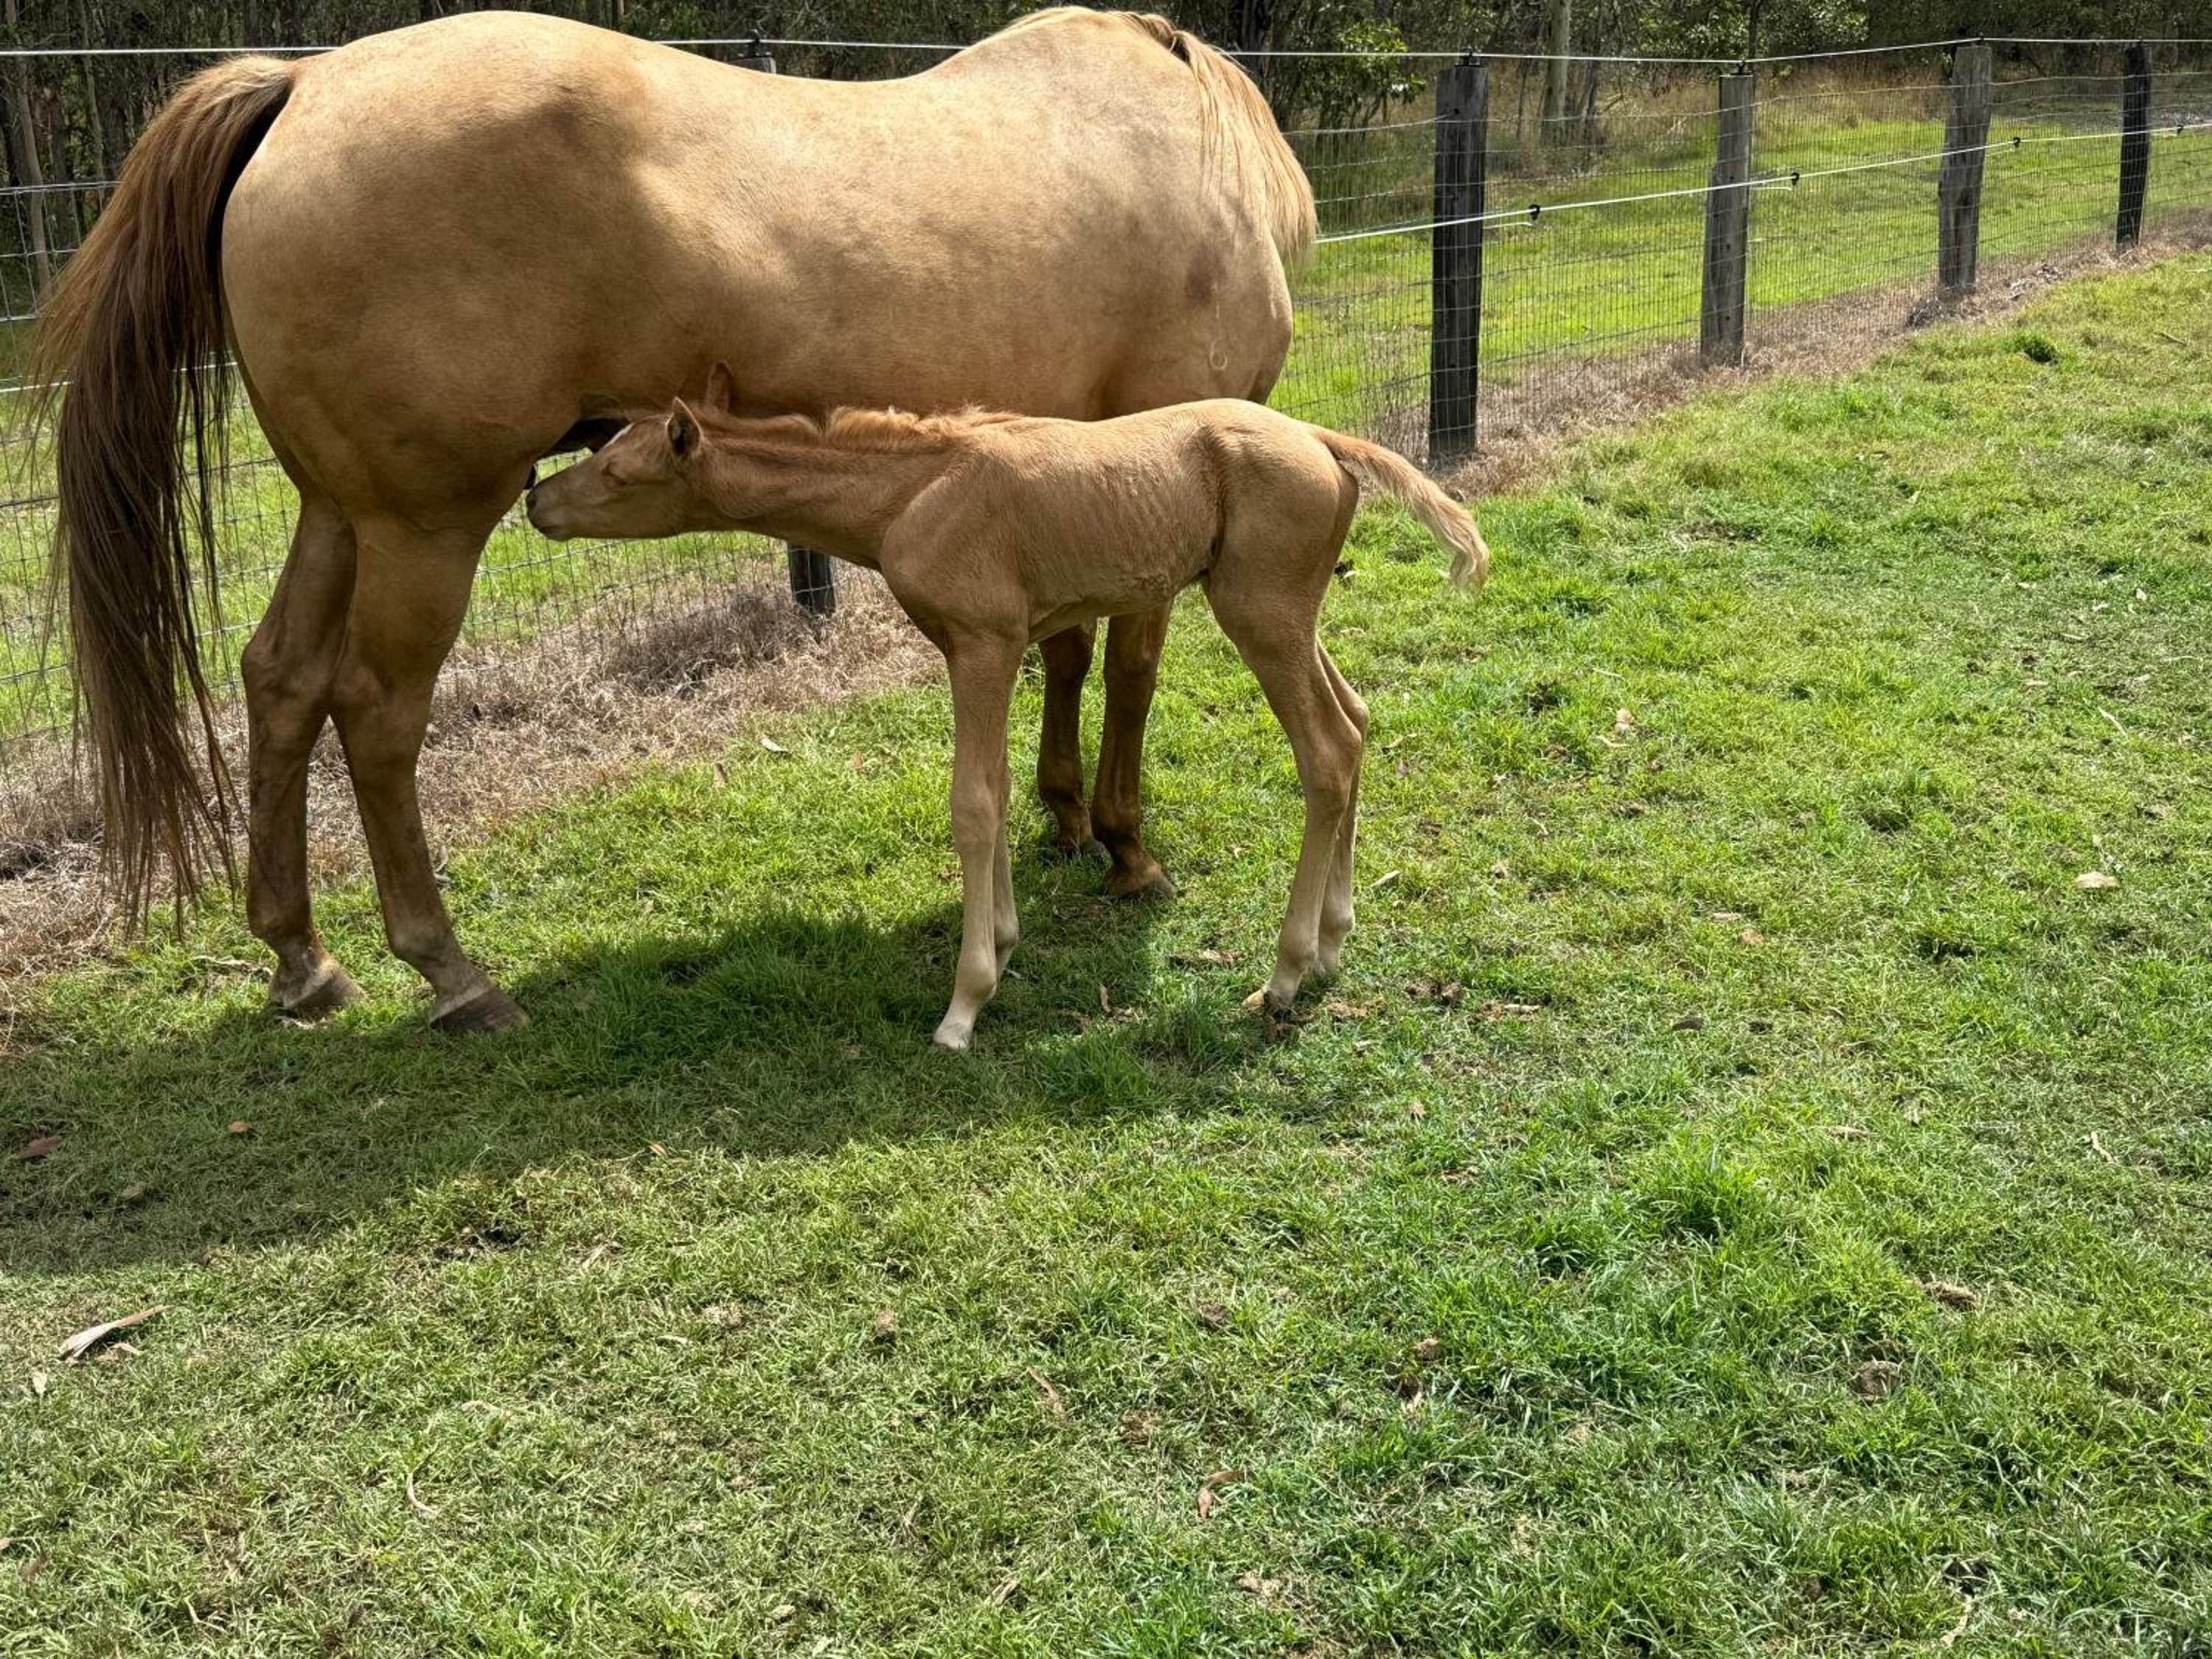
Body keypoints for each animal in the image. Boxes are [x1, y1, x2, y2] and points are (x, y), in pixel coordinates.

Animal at [33, 8, 1315, 1031]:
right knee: (378, 713)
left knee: (284, 680)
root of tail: (307, 85)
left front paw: (1063, 817)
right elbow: (1133, 665)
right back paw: (453, 973)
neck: (1186, 134)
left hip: (341, 513)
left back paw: (303, 958)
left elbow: (1073, 648)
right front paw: (1125, 844)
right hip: (424, 528)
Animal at [525, 371, 1489, 1049]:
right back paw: (1332, 942)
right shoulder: (980, 651)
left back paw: (1285, 975)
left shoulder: (983, 644)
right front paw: (1008, 940)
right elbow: (990, 787)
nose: (535, 499)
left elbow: (974, 804)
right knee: (1356, 725)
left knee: (1324, 753)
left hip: (1260, 613)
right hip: (1290, 613)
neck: (913, 493)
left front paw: (965, 1003)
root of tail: (1325, 439)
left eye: (618, 471)